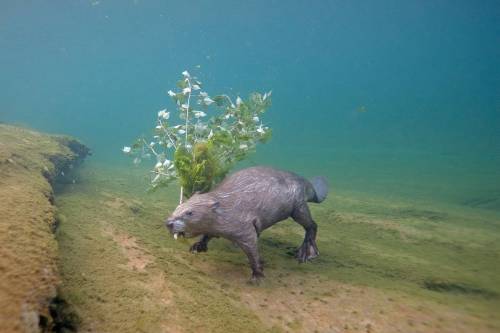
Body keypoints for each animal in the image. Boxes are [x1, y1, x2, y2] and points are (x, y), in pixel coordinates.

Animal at [165, 165, 328, 282]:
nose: (168, 223)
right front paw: (197, 247)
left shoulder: (243, 226)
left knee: (311, 225)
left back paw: (306, 253)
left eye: (189, 213)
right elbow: (208, 234)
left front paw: (257, 275)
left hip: (298, 206)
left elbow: (251, 248)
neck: (226, 205)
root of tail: (309, 185)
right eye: (178, 207)